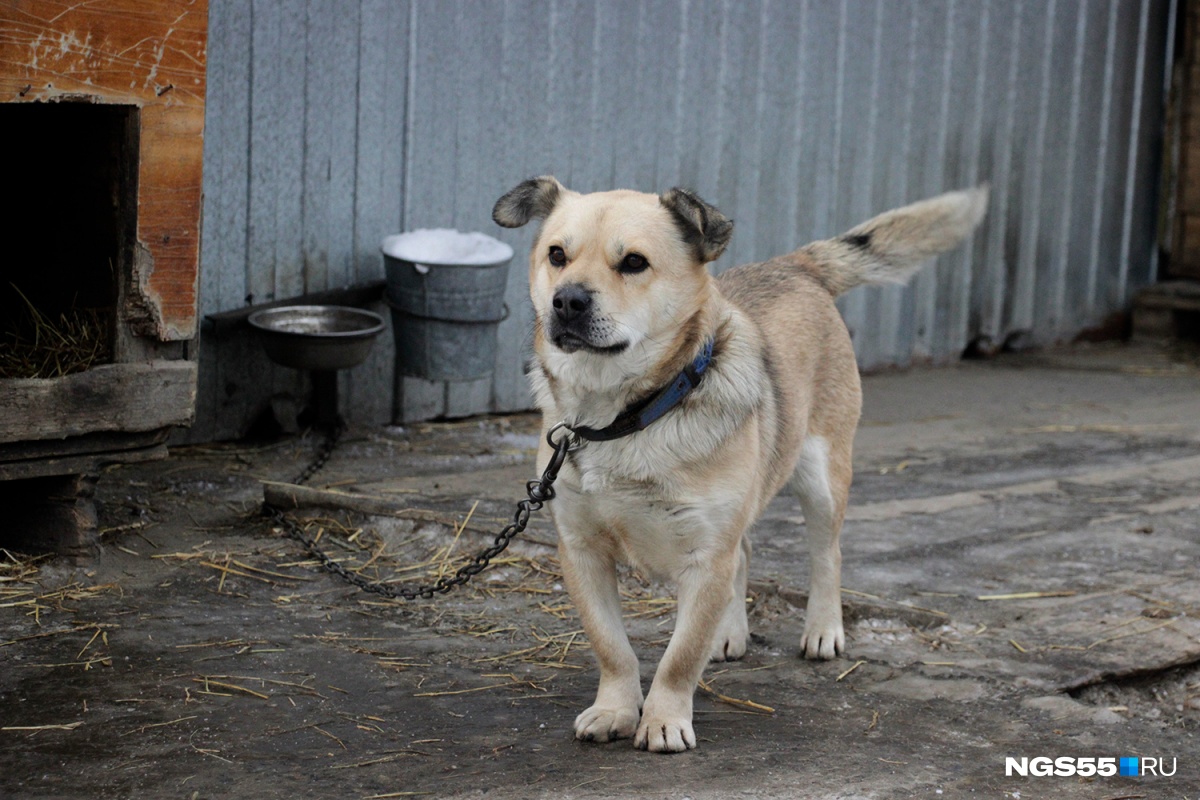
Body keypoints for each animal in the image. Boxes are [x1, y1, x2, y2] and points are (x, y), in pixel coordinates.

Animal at [487, 178, 984, 753]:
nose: (566, 300)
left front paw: (664, 719)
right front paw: (616, 710)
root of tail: (794, 264)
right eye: (557, 255)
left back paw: (822, 630)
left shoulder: (706, 556)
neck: (626, 417)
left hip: (820, 475)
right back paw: (728, 632)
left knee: (827, 554)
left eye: (633, 262)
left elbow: (679, 657)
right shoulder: (582, 550)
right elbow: (612, 645)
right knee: (744, 553)